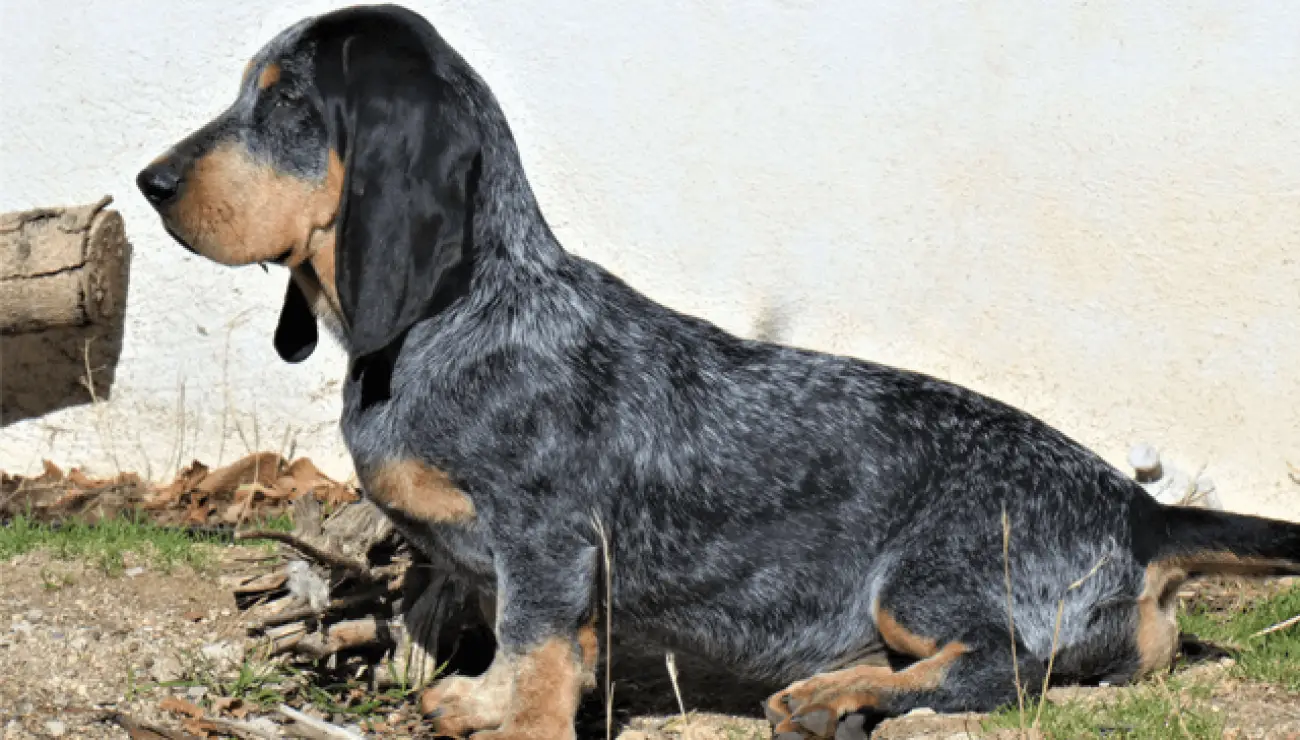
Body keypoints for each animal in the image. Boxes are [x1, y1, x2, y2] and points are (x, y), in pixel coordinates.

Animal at [134, 7, 1300, 738]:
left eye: (287, 102)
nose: (151, 183)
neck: (465, 314)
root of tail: (1141, 512)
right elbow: (504, 628)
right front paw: (468, 689)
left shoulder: (548, 537)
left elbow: (535, 640)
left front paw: (506, 716)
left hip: (921, 581)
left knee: (1000, 663)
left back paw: (834, 696)